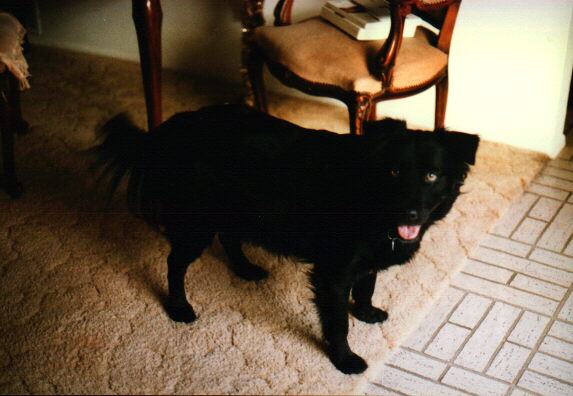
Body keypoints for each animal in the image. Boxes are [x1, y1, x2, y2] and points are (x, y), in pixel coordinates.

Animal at [94, 103, 478, 372]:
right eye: (394, 171)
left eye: (431, 175)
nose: (408, 214)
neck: (368, 195)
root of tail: (171, 126)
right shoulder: (333, 273)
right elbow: (338, 323)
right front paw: (344, 360)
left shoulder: (367, 259)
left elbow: (367, 286)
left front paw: (366, 312)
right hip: (197, 221)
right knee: (175, 262)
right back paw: (179, 307)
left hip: (238, 208)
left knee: (229, 237)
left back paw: (246, 270)